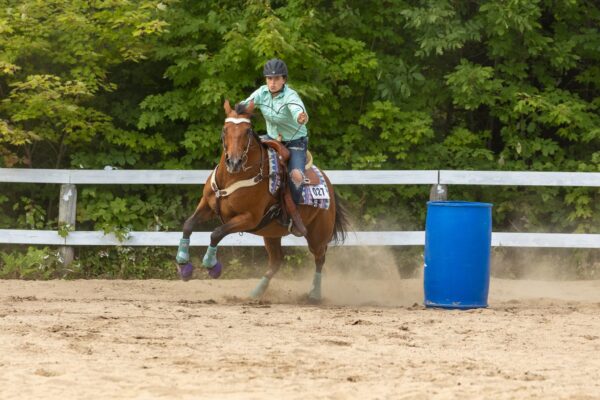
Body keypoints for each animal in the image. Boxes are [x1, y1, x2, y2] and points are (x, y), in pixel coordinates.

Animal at [175, 99, 350, 302]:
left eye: (247, 131)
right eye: (225, 129)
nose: (233, 162)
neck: (232, 178)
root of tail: (328, 183)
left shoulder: (249, 218)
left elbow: (217, 233)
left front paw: (212, 266)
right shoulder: (207, 206)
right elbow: (188, 224)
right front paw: (183, 266)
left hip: (318, 234)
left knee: (320, 258)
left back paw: (314, 294)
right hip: (271, 234)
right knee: (276, 261)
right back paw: (256, 293)